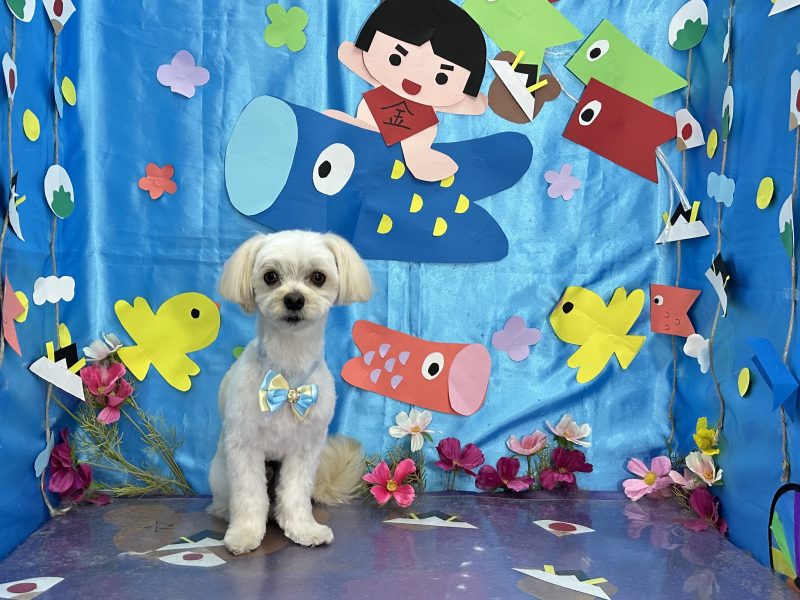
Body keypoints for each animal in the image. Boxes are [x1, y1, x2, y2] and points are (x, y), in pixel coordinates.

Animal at [207, 230, 373, 555]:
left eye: (318, 277)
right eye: (270, 276)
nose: (294, 299)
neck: (288, 378)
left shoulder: (306, 449)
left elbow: (295, 493)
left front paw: (304, 529)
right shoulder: (244, 447)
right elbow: (249, 496)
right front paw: (245, 534)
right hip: (220, 474)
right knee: (228, 501)